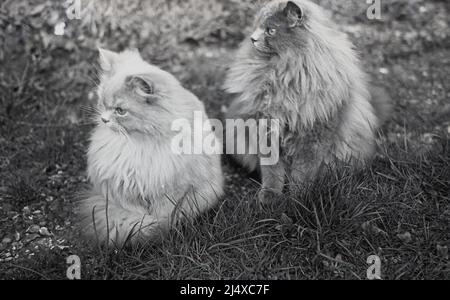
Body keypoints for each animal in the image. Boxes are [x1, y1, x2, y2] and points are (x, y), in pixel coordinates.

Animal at [79, 48, 225, 246]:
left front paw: (157, 228)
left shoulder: (171, 190)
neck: (138, 143)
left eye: (120, 111)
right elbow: (135, 214)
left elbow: (164, 215)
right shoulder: (124, 189)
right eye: (101, 102)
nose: (104, 119)